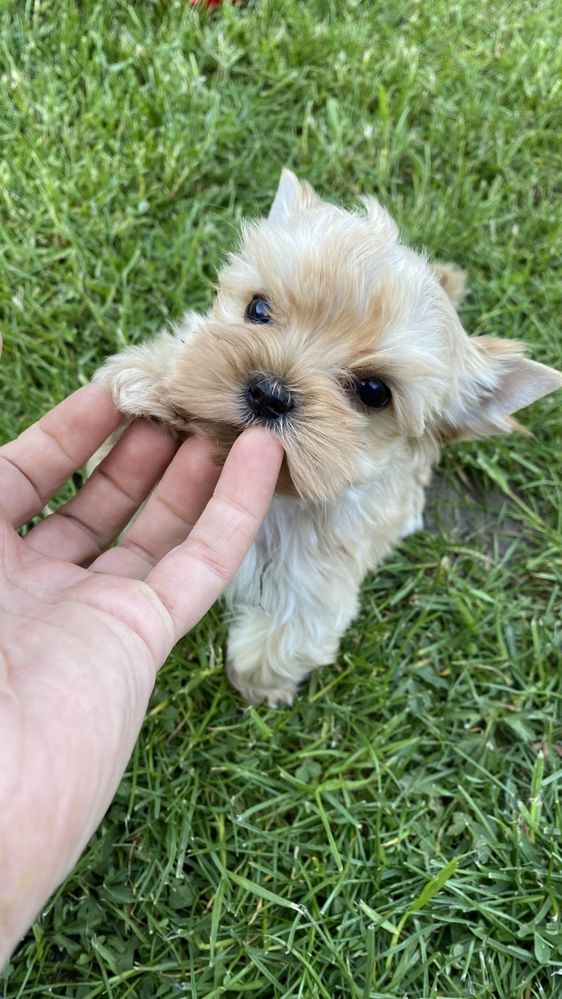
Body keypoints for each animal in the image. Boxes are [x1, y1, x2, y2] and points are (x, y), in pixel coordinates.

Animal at [94, 174, 556, 712]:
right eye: (258, 308)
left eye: (374, 392)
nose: (269, 393)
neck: (278, 496)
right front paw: (149, 381)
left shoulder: (315, 584)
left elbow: (287, 635)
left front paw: (258, 685)